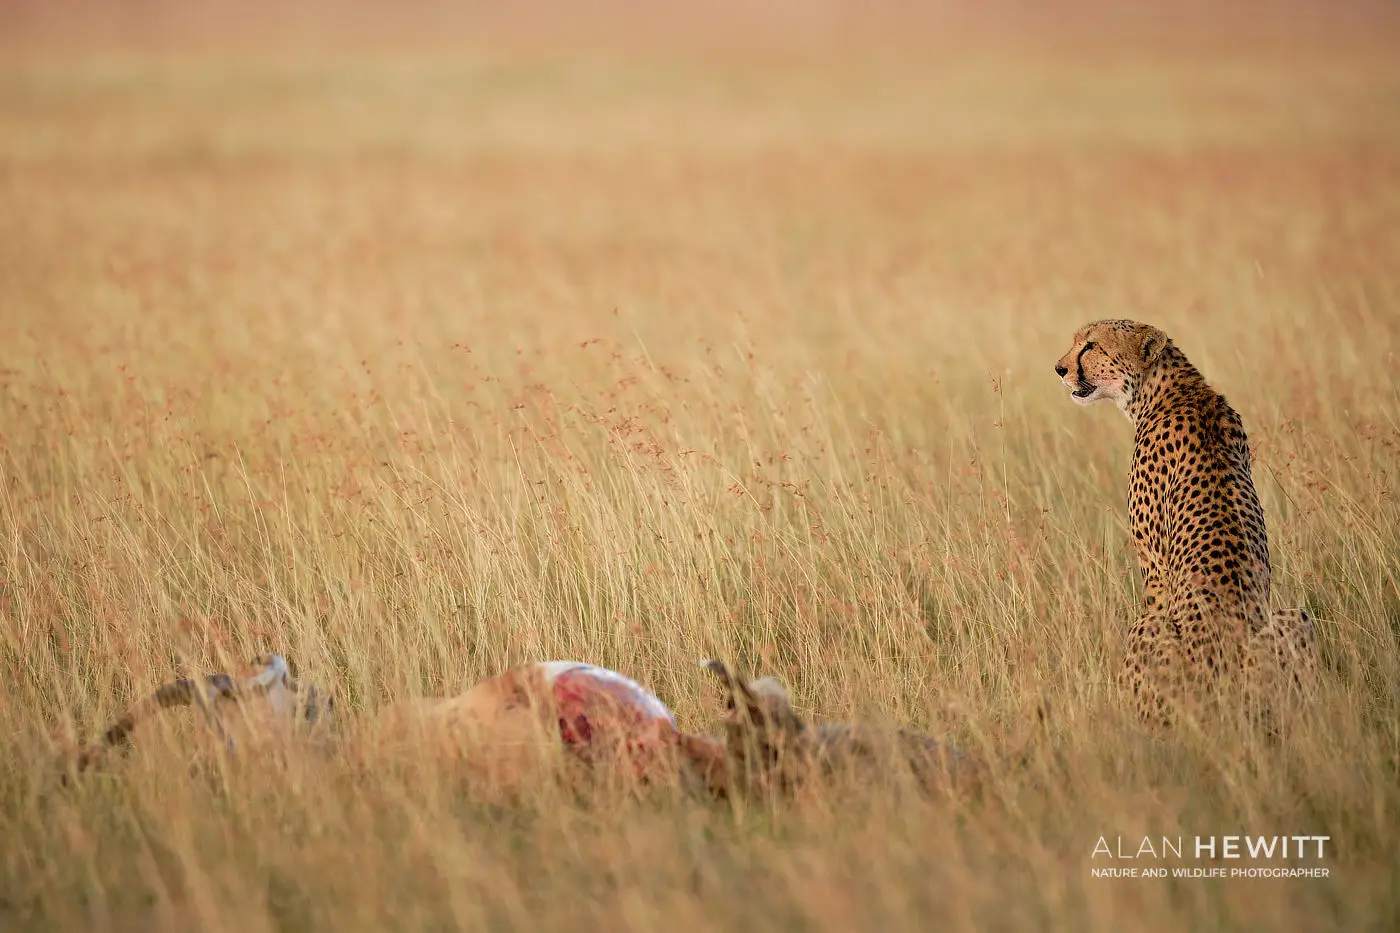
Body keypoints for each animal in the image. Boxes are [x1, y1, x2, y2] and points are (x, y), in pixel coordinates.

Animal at [1054, 319, 1318, 728]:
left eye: (1091, 346)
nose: (1059, 368)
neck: (1173, 388)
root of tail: (1224, 694)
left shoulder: (1154, 568)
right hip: (1294, 620)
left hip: (1149, 632)